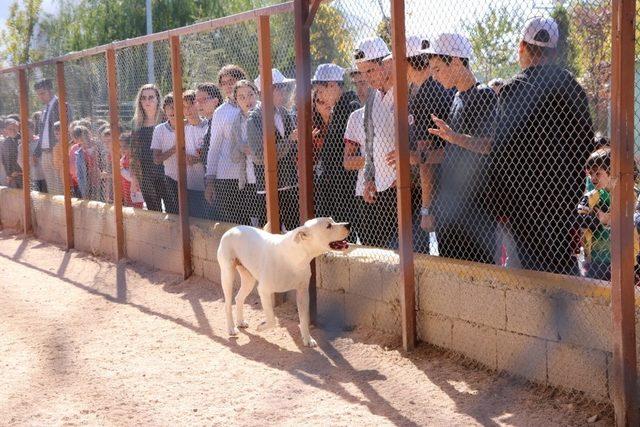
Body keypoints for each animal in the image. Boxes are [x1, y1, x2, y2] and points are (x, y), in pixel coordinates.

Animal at [219, 217, 350, 348]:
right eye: (328, 226)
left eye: (333, 220)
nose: (348, 224)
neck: (293, 258)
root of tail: (232, 229)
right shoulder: (264, 291)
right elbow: (272, 320)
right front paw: (260, 327)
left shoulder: (302, 293)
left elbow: (304, 320)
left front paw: (307, 339)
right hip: (227, 276)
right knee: (227, 304)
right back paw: (231, 328)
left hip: (248, 280)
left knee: (239, 298)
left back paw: (240, 322)